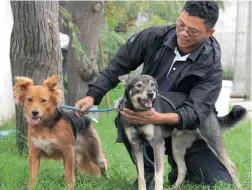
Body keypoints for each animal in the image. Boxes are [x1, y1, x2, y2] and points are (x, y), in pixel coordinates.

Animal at [116, 74, 246, 190]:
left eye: (152, 85)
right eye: (138, 85)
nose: (151, 94)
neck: (139, 112)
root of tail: (209, 110)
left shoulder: (157, 144)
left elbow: (158, 175)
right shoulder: (136, 146)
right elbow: (141, 176)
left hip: (213, 141)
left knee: (232, 167)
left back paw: (239, 187)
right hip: (177, 148)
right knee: (183, 170)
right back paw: (174, 188)